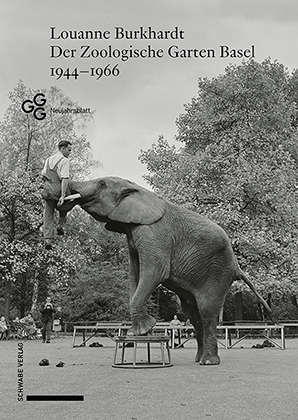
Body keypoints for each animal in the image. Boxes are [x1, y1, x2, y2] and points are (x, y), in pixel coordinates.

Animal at [57, 177, 272, 364]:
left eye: (102, 183)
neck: (138, 190)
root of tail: (237, 265)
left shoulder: (153, 233)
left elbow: (154, 272)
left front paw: (144, 330)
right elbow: (134, 275)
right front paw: (137, 333)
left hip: (218, 272)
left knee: (207, 311)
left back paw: (208, 362)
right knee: (192, 312)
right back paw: (197, 359)